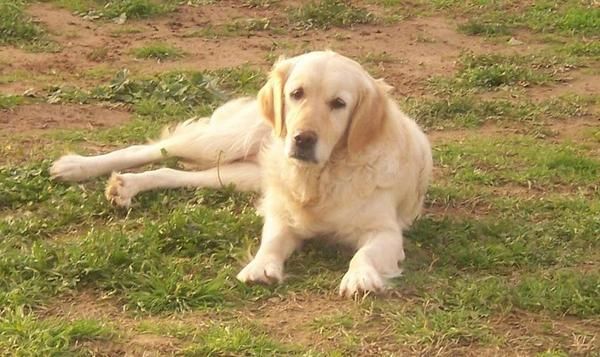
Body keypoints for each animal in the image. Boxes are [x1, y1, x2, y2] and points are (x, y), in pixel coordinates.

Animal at [50, 49, 432, 294]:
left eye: (339, 104)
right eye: (297, 93)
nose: (302, 139)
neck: (319, 179)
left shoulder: (385, 231)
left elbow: (363, 253)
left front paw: (360, 278)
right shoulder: (281, 213)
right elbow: (272, 241)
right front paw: (261, 268)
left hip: (237, 175)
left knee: (173, 171)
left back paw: (126, 186)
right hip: (225, 140)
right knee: (151, 149)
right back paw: (75, 166)